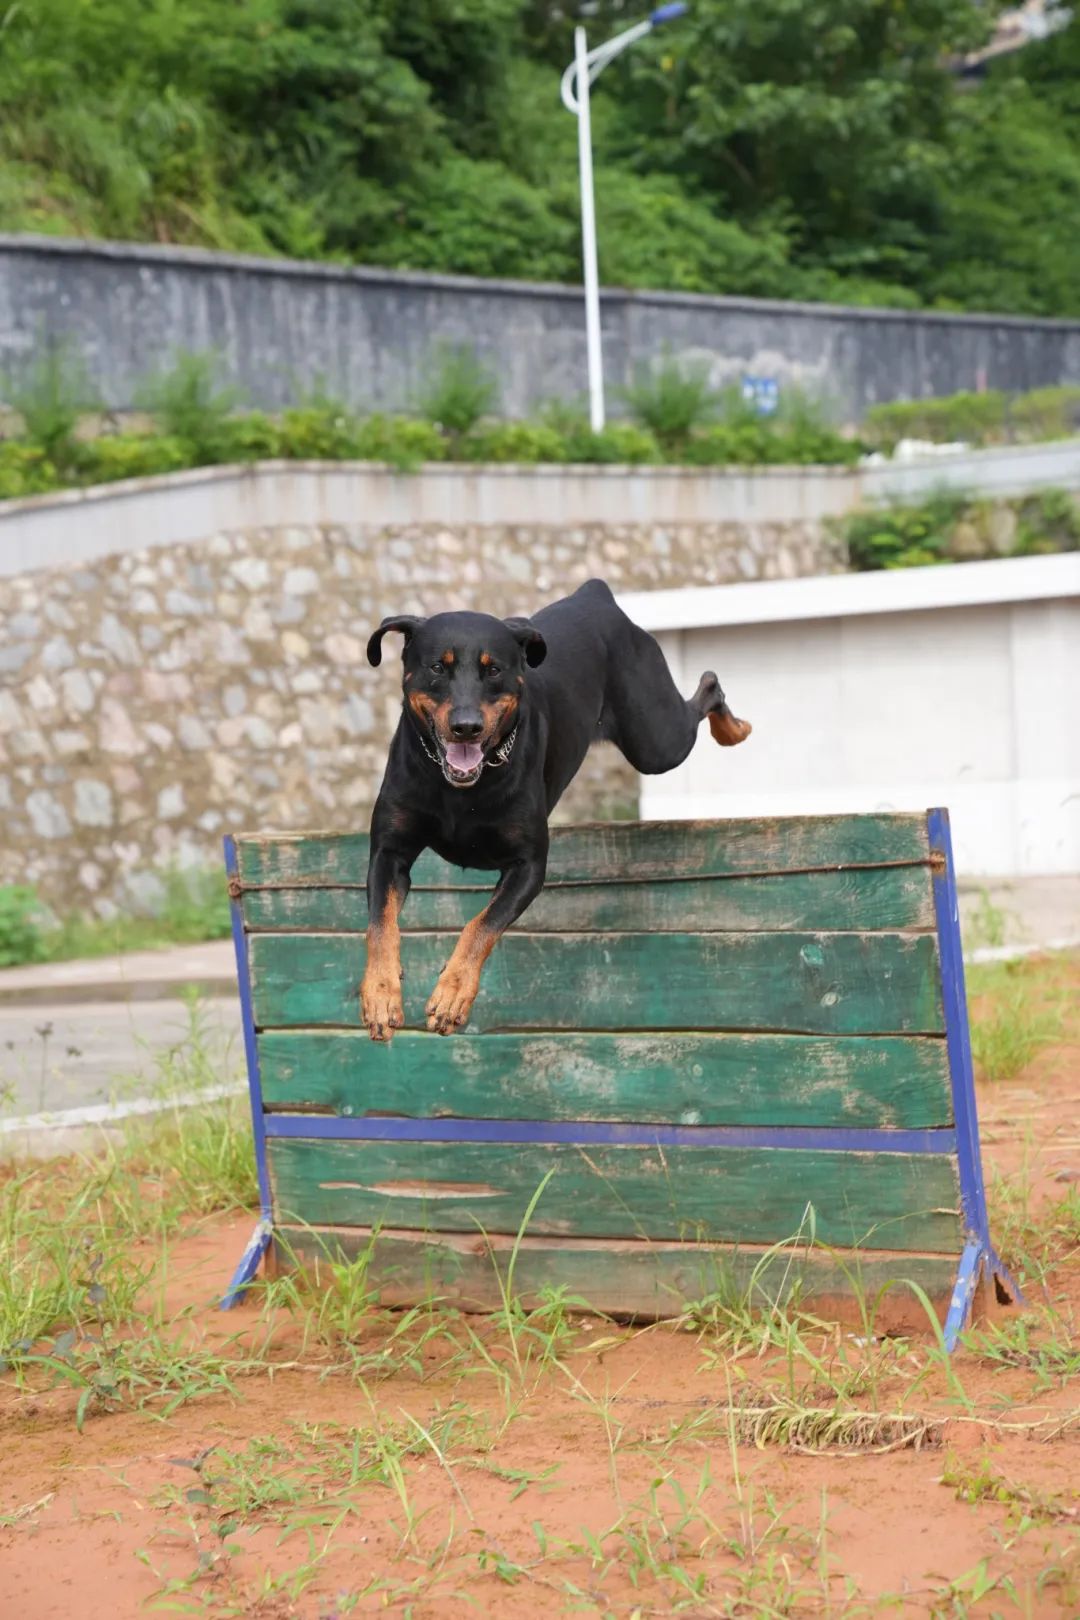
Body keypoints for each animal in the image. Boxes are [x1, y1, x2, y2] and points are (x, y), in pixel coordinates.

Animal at [362, 579, 751, 1036]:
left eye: (493, 670)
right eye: (438, 668)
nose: (466, 726)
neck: (460, 789)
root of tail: (595, 595)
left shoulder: (528, 866)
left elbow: (482, 924)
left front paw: (452, 994)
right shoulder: (390, 852)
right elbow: (380, 923)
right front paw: (381, 995)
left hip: (656, 735)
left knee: (707, 688)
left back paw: (734, 730)